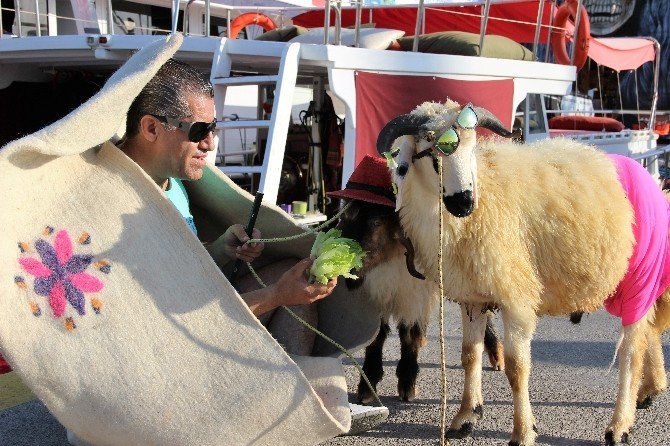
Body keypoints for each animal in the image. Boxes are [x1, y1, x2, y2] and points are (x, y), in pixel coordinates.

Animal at [378, 101, 670, 446]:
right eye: (432, 156)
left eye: (473, 147)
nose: (464, 202)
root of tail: (653, 182)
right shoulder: (473, 296)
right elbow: (469, 355)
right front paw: (465, 417)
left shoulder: (516, 297)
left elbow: (517, 368)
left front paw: (522, 431)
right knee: (650, 332)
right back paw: (651, 390)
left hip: (641, 276)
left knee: (631, 352)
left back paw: (620, 424)